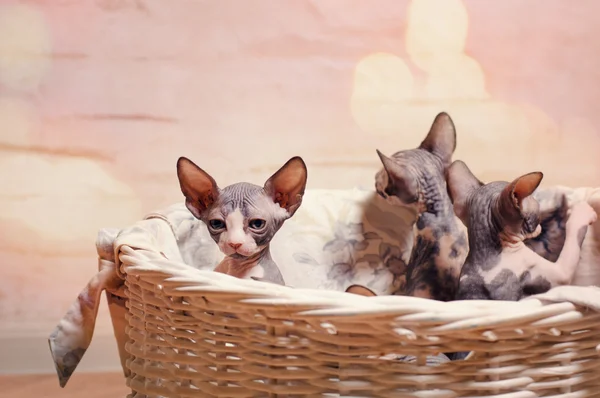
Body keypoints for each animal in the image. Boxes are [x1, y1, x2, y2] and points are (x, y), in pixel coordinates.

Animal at [446, 159, 596, 302]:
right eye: (537, 216)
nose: (541, 227)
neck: (486, 254)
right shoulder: (555, 272)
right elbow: (574, 236)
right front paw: (582, 211)